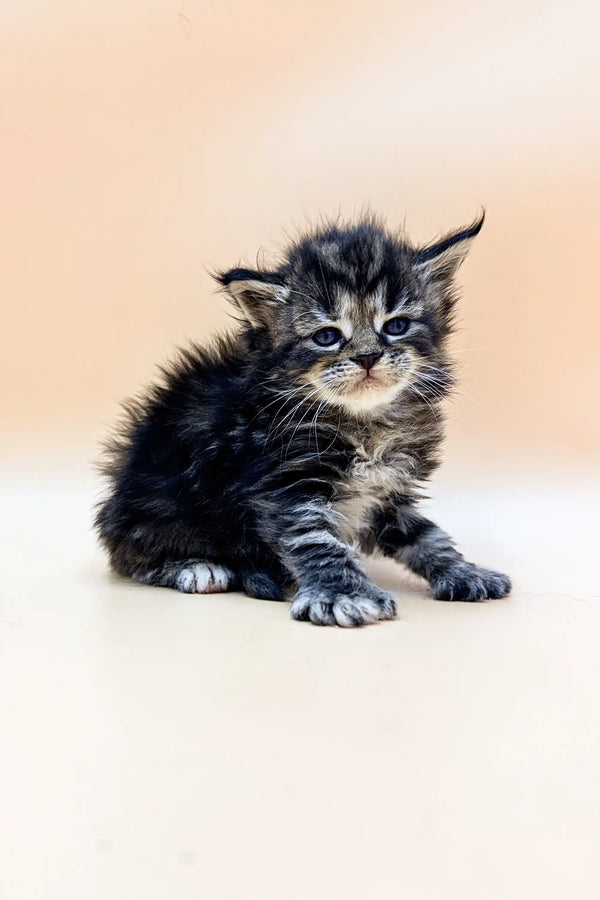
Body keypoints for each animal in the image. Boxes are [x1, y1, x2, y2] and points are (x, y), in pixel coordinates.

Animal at [94, 214, 510, 628]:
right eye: (327, 336)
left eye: (396, 326)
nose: (368, 356)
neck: (365, 423)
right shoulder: (284, 484)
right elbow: (316, 540)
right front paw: (342, 592)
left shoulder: (389, 493)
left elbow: (426, 536)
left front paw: (463, 571)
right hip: (157, 508)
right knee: (130, 557)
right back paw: (196, 567)